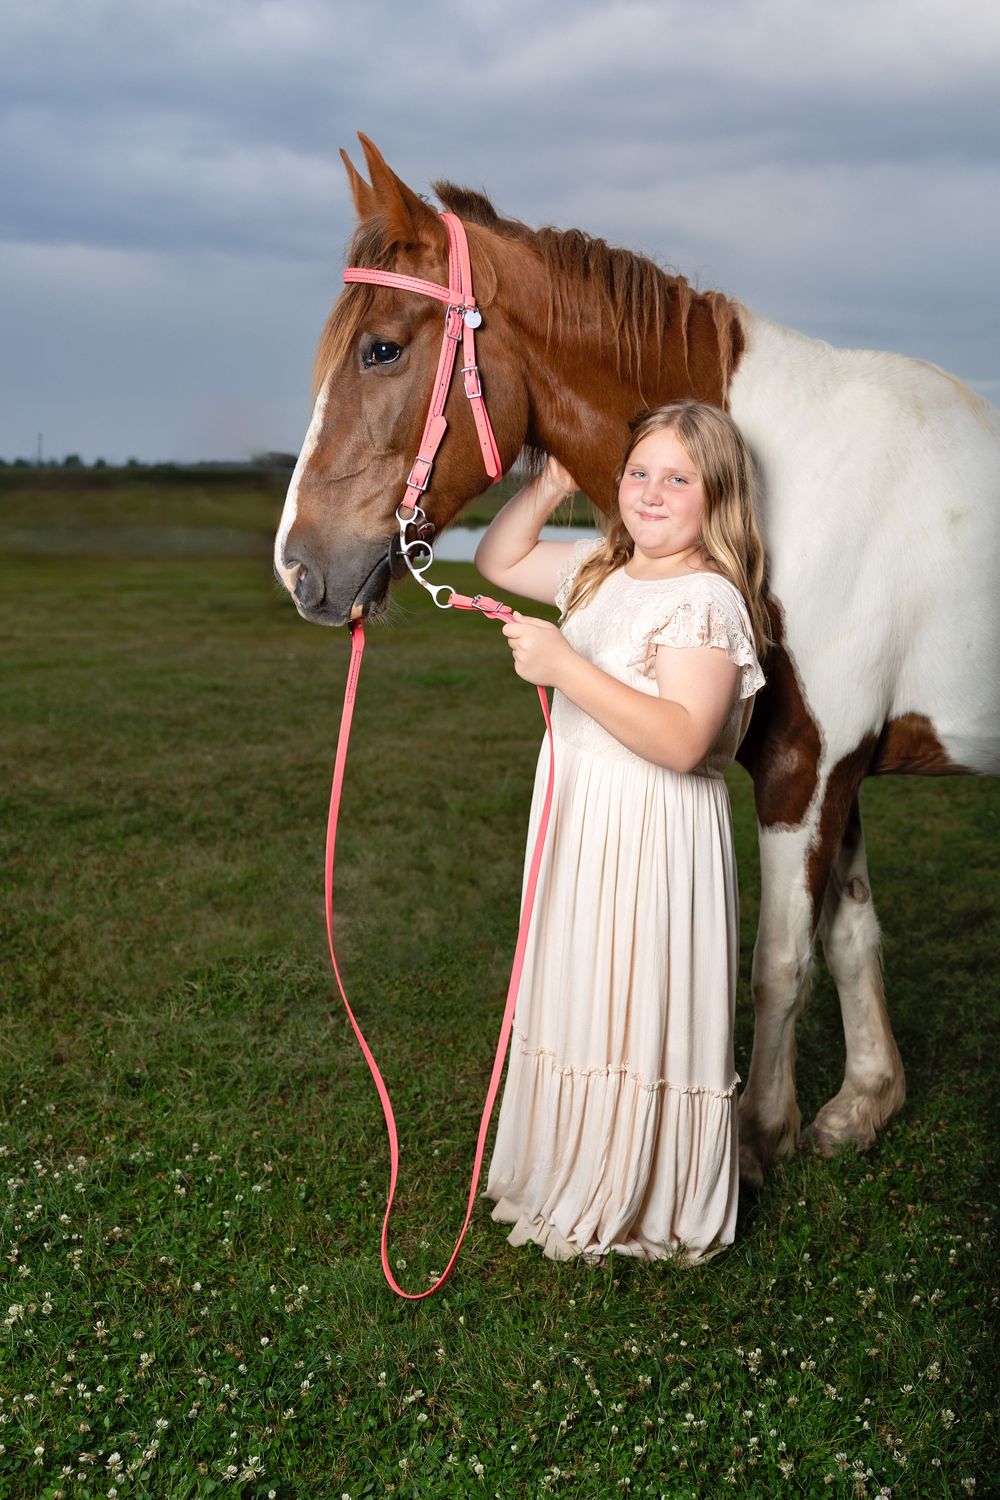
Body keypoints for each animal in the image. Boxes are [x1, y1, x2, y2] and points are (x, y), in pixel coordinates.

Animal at [274, 134, 1000, 1188]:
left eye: (383, 349)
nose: (298, 568)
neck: (777, 488)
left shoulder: (807, 766)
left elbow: (781, 961)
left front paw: (756, 1139)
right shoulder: (834, 763)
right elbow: (852, 933)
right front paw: (863, 1105)